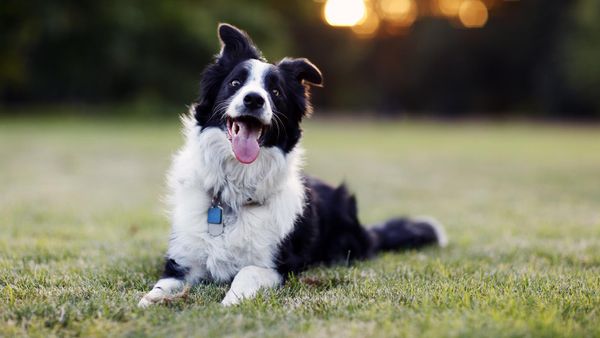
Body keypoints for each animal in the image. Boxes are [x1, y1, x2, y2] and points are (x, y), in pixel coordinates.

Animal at [139, 22, 446, 308]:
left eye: (275, 91)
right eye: (235, 84)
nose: (254, 99)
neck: (234, 195)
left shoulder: (279, 266)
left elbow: (247, 272)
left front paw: (229, 301)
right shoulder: (182, 262)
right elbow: (162, 285)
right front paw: (149, 301)